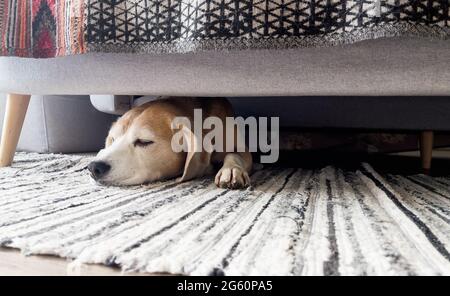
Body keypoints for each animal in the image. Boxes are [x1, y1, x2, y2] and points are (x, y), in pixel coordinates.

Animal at [86, 97, 251, 190]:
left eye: (144, 141)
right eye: (113, 139)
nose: (94, 167)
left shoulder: (243, 150)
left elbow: (234, 154)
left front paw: (230, 170)